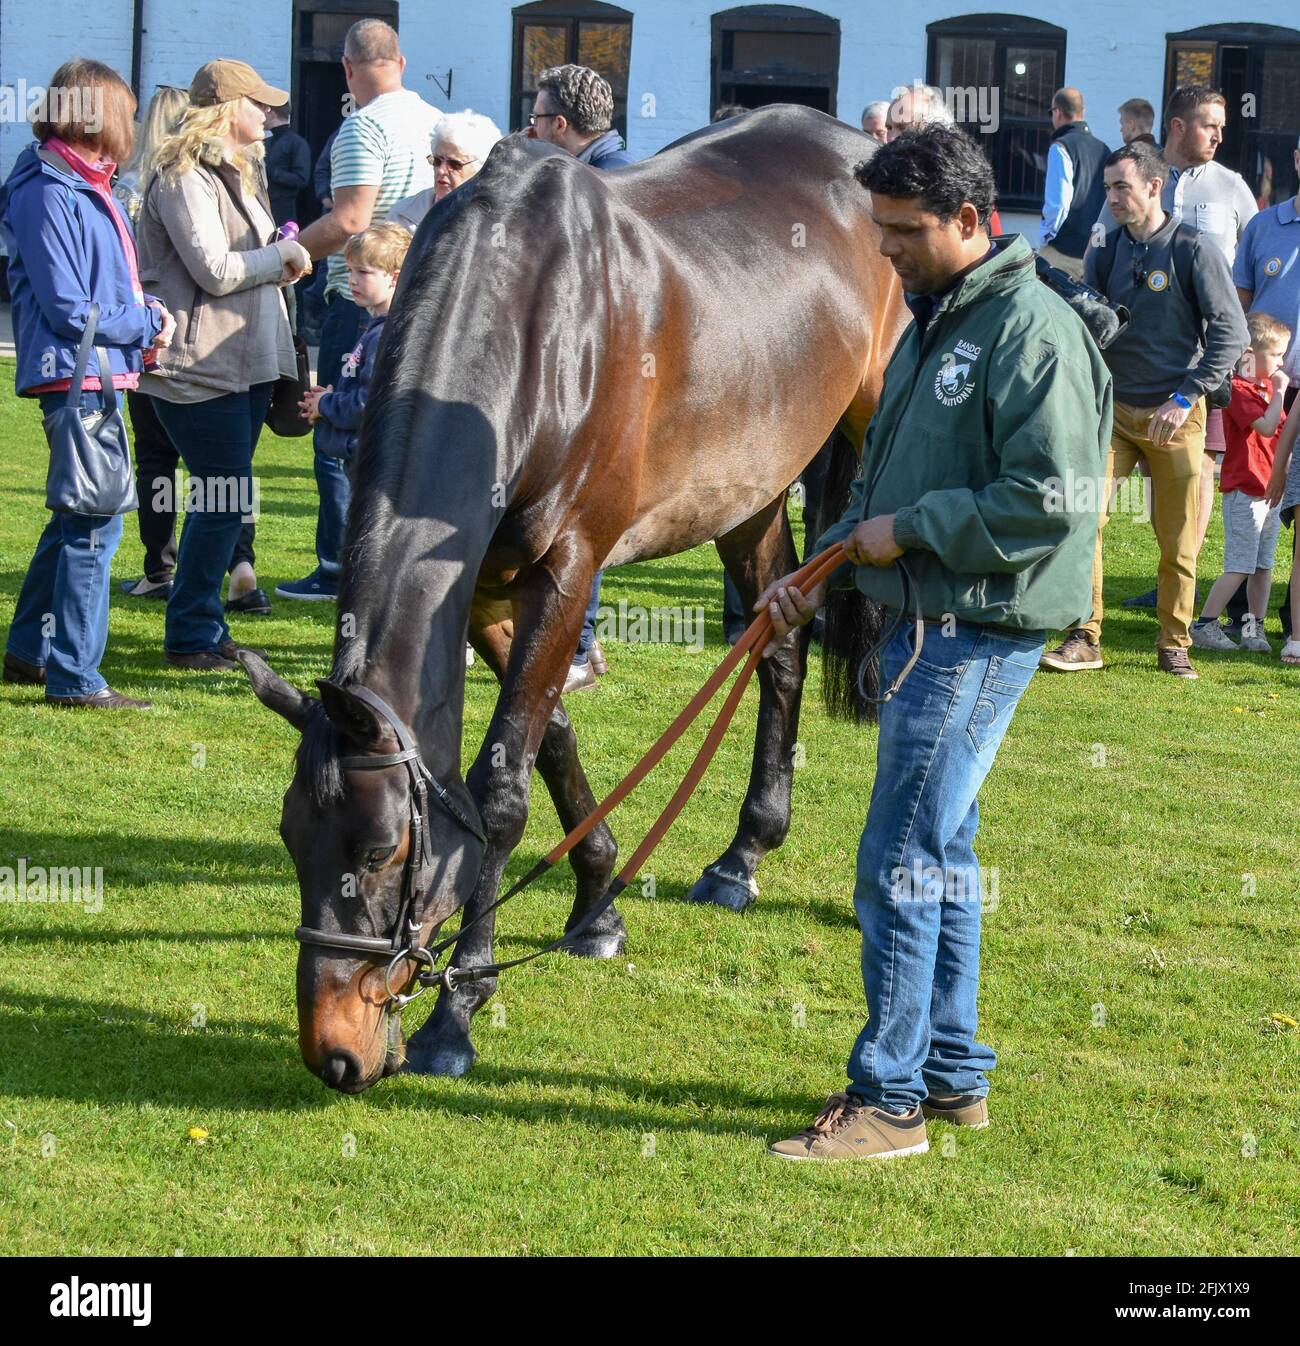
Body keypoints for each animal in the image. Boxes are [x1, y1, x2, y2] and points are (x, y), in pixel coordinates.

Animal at [241, 105, 910, 1093]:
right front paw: (598, 900)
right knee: (780, 644)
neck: (532, 331)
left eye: (378, 850)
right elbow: (546, 739)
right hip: (748, 490)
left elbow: (502, 791)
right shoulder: (490, 586)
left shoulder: (569, 568)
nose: (335, 1053)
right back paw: (744, 851)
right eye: (292, 839)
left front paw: (458, 1009)